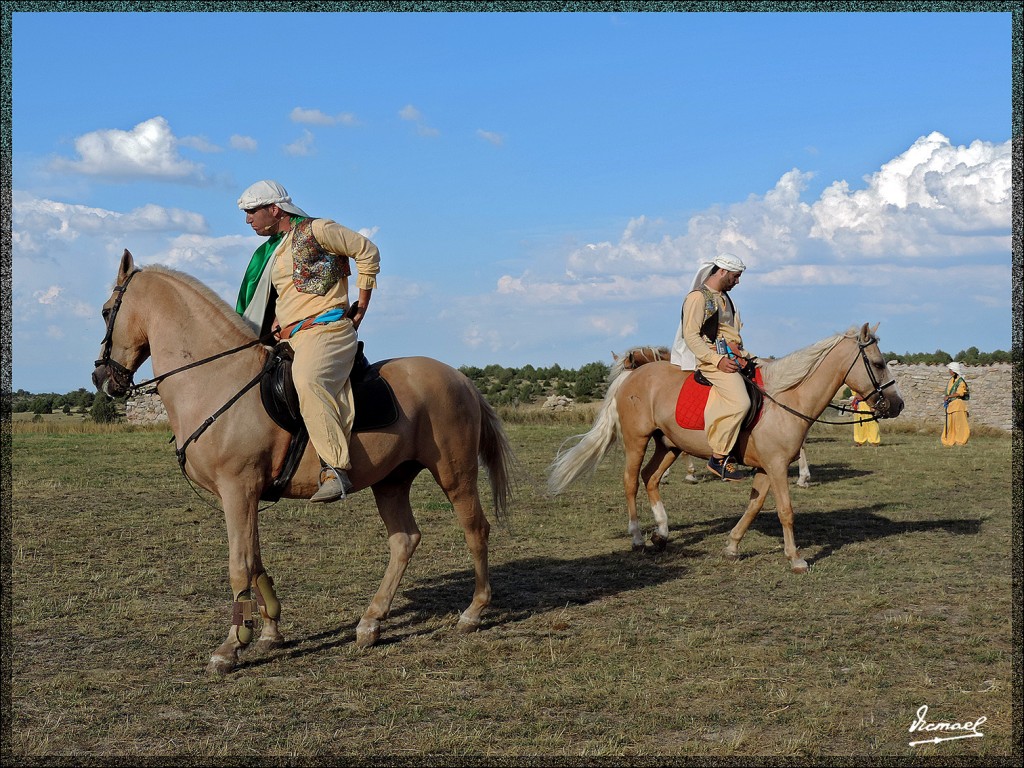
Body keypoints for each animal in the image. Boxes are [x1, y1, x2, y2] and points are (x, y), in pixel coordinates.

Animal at [92, 250, 516, 671]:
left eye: (106, 310)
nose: (101, 378)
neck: (217, 379)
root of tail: (461, 379)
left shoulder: (238, 489)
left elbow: (239, 564)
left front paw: (230, 647)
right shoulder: (246, 496)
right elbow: (255, 560)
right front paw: (268, 632)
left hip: (455, 474)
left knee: (475, 530)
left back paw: (472, 613)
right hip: (391, 481)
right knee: (404, 540)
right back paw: (370, 623)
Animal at [552, 323, 905, 573]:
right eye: (878, 363)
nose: (897, 404)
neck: (787, 397)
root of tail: (633, 378)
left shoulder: (766, 468)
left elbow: (753, 506)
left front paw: (732, 546)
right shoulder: (776, 466)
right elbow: (785, 511)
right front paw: (796, 558)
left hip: (668, 445)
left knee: (650, 478)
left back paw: (661, 533)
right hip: (637, 441)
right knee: (630, 483)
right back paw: (638, 537)